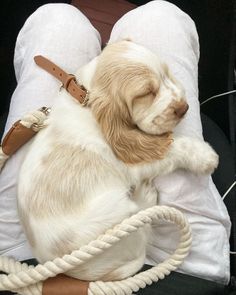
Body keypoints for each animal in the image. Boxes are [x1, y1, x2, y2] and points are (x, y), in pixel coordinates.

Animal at [17, 40, 218, 282]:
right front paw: (206, 156)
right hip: (119, 215)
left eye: (166, 74)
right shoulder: (134, 164)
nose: (184, 108)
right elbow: (174, 148)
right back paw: (145, 195)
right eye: (147, 93)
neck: (88, 100)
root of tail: (76, 272)